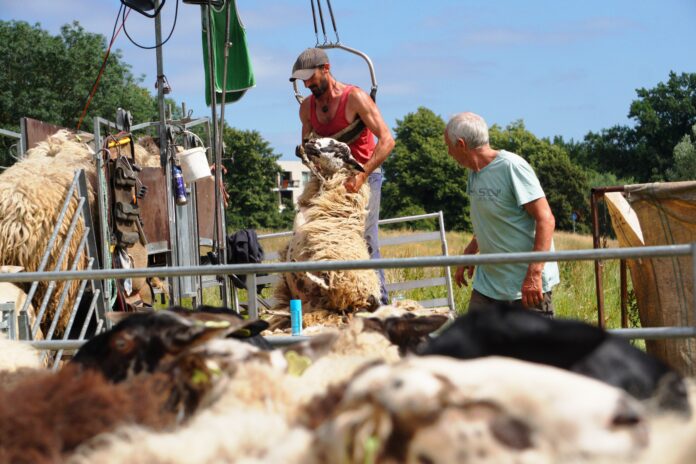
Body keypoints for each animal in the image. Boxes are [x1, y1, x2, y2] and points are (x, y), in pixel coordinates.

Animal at [272, 138, 381, 317]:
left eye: (338, 149)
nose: (310, 141)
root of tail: (372, 301)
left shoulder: (326, 185)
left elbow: (317, 173)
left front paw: (304, 155)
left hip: (343, 276)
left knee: (329, 283)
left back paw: (306, 270)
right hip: (321, 303)